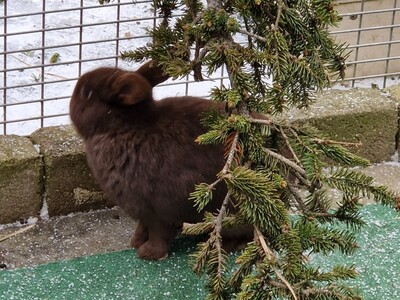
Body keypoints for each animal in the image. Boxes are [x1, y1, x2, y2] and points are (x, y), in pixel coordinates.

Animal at [69, 61, 247, 260]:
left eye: (86, 93)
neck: (121, 128)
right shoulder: (142, 211)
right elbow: (143, 227)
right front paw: (135, 242)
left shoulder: (158, 210)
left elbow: (159, 233)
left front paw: (148, 253)